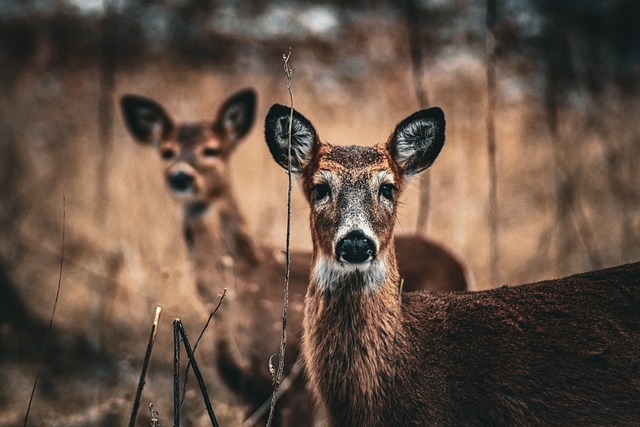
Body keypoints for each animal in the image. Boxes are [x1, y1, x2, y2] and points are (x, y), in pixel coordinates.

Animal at [119, 89, 470, 425]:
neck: (243, 292)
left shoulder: (295, 384)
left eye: (211, 150)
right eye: (166, 151)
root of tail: (456, 262)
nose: (180, 176)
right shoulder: (247, 393)